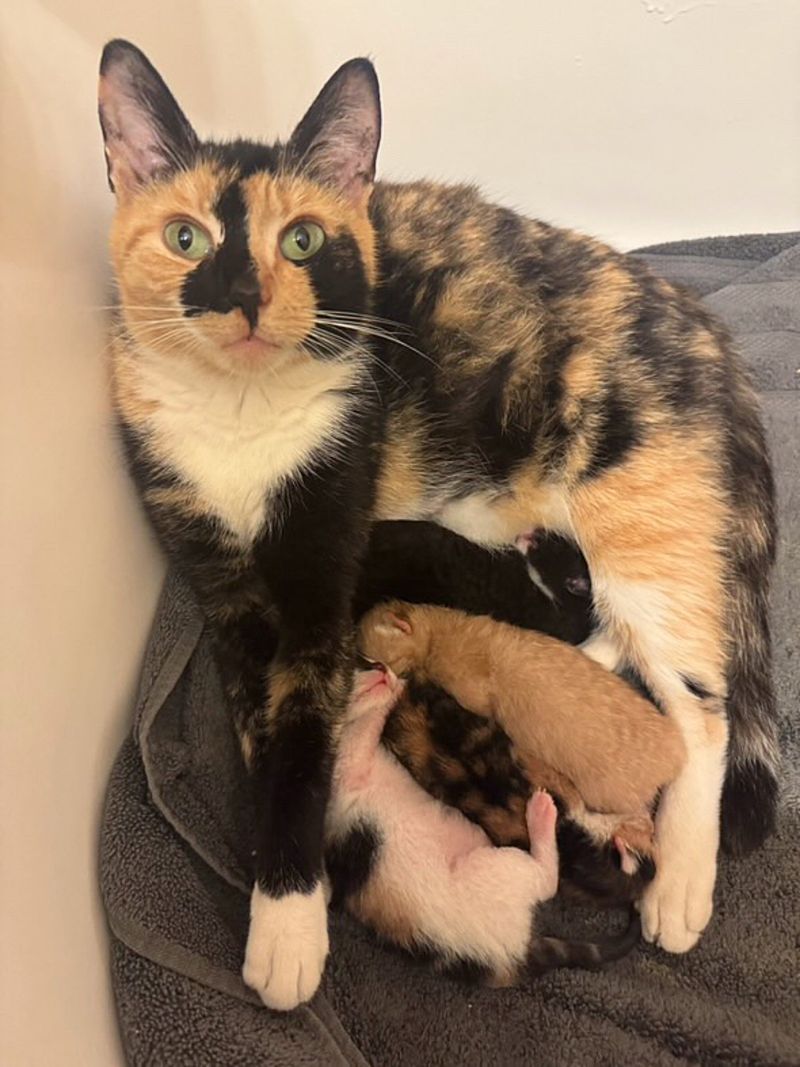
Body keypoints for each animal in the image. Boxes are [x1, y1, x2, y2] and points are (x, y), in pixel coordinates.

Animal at [322, 665, 644, 981]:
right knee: (547, 882)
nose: (379, 667)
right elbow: (365, 728)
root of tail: (518, 956)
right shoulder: (347, 771)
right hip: (497, 866)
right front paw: (387, 695)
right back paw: (541, 814)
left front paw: (394, 683)